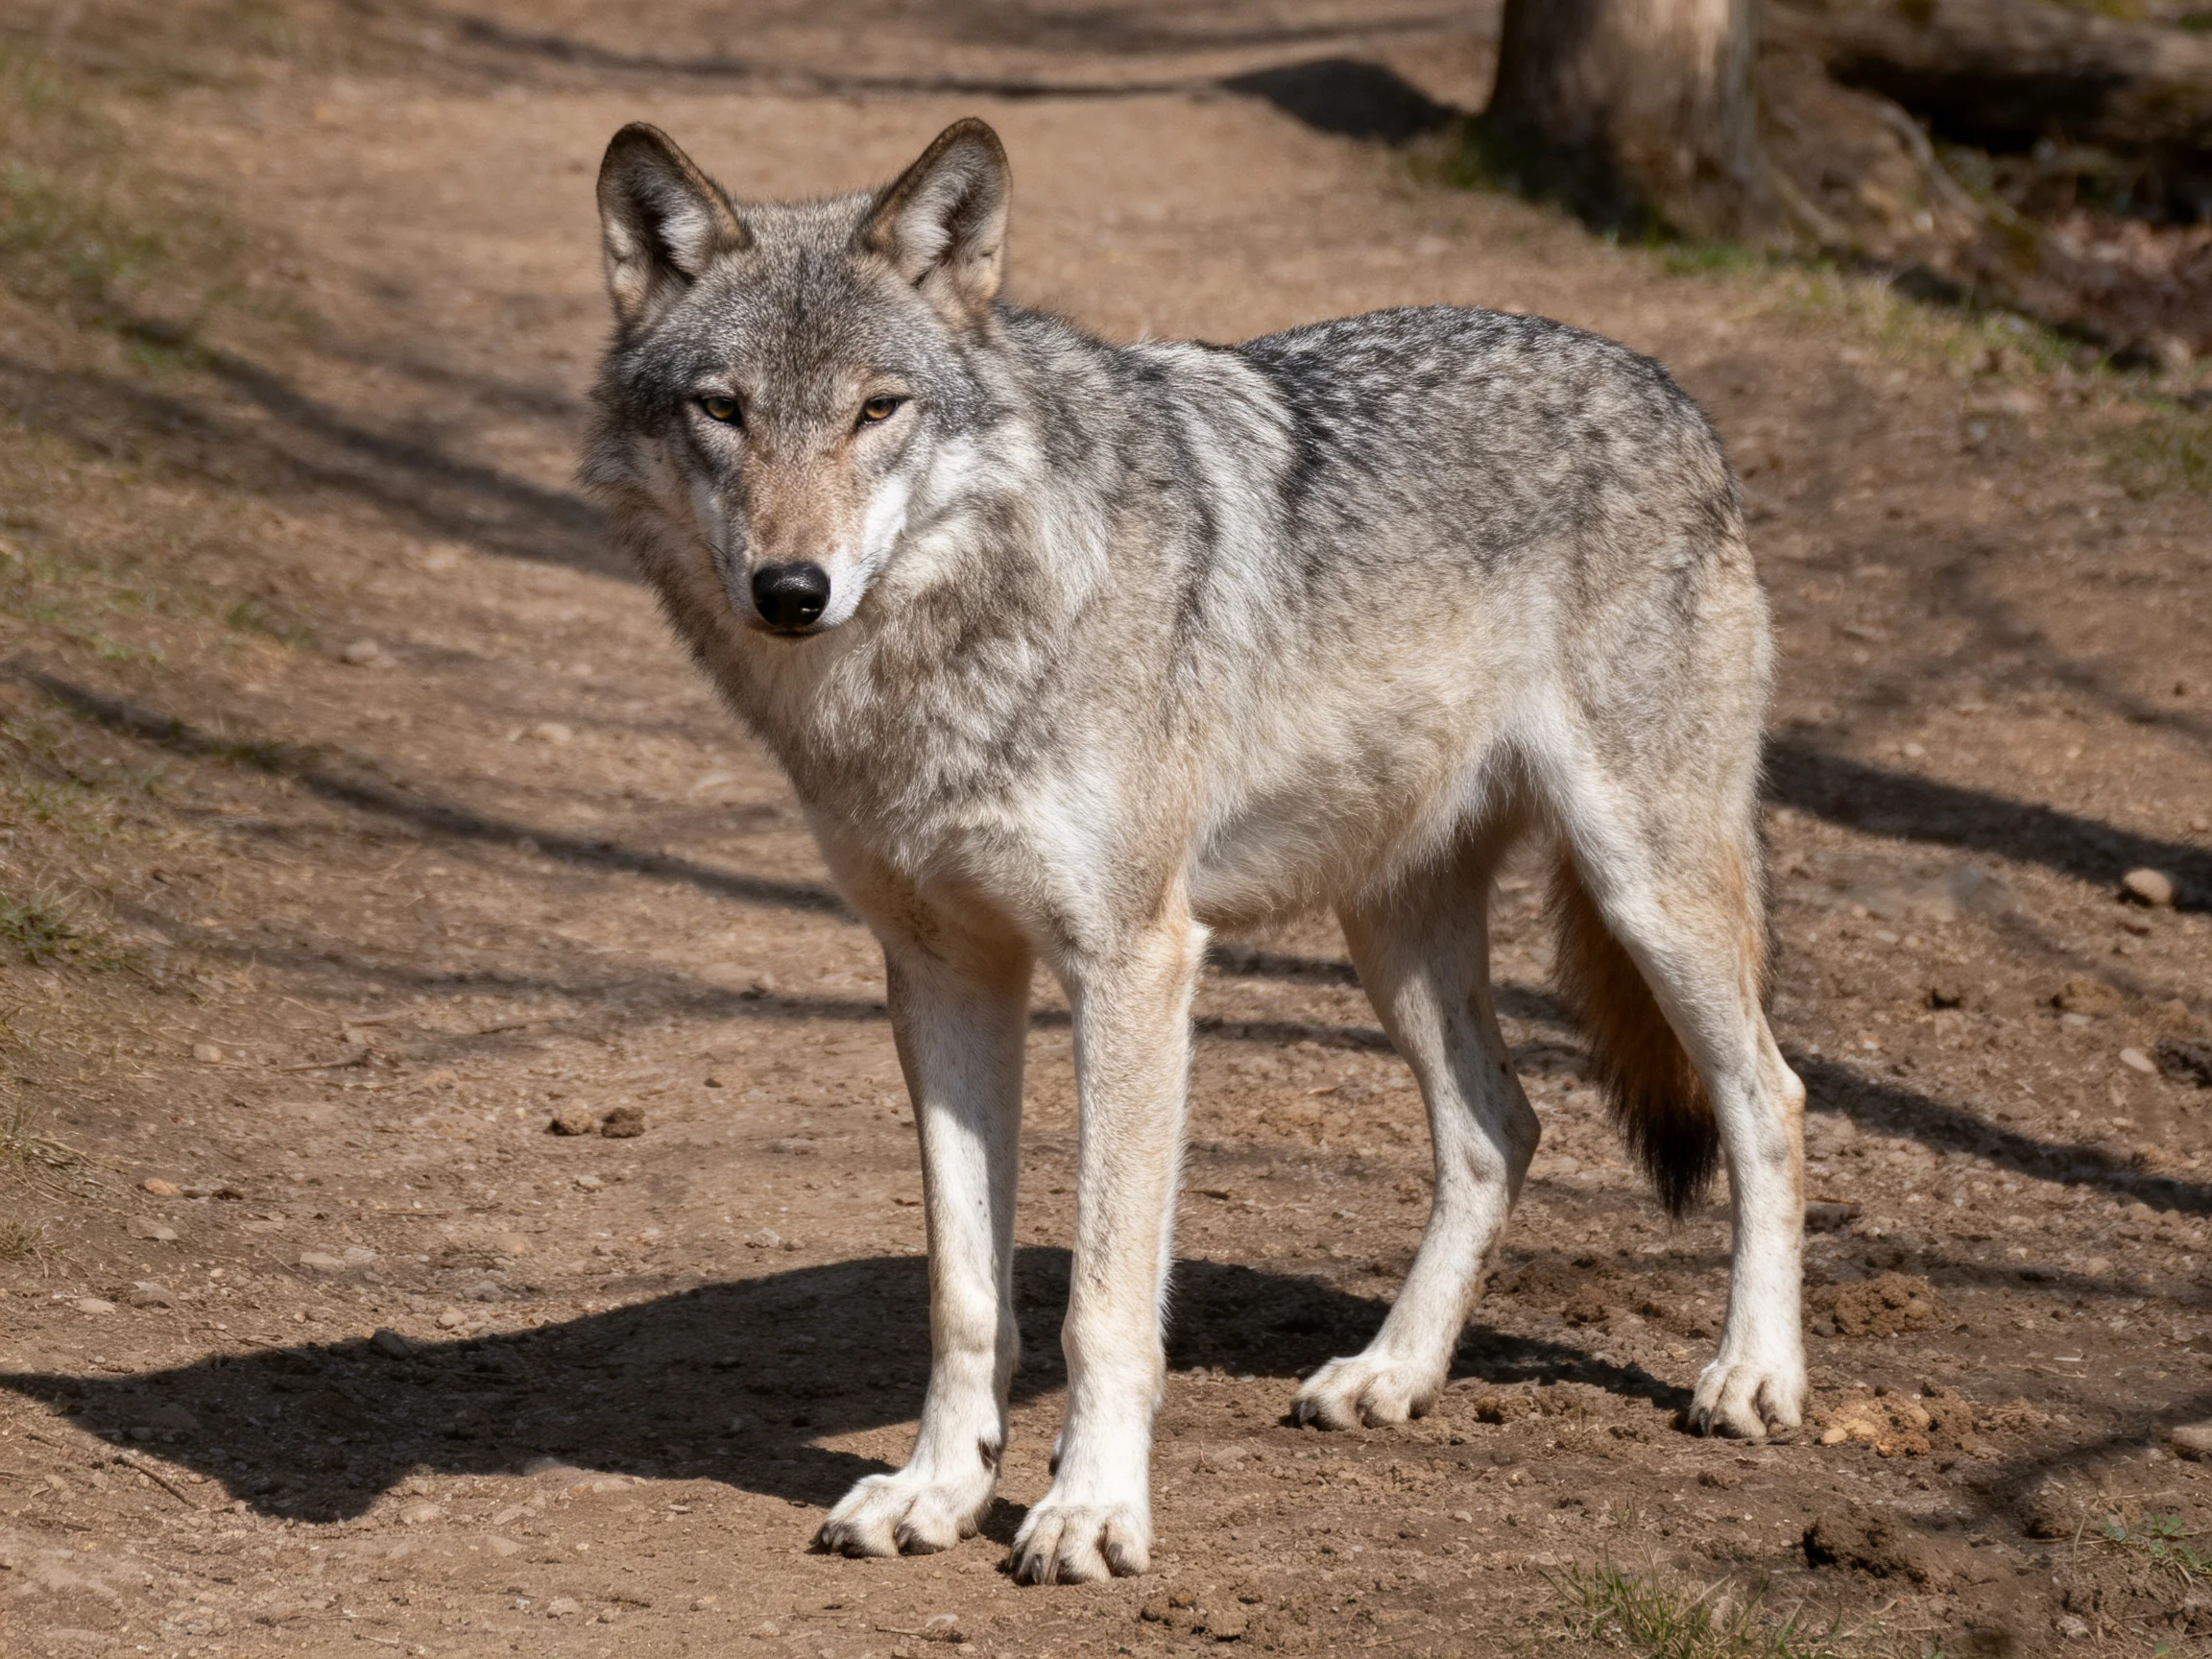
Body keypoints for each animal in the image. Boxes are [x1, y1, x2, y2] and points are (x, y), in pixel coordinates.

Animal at [584, 117, 1807, 1585]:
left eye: (878, 409)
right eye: (723, 410)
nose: (791, 589)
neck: (933, 674)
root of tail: (1669, 391)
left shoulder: (1137, 962)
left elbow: (1104, 1298)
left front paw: (1089, 1511)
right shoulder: (944, 973)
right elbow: (965, 1295)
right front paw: (939, 1490)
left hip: (1647, 890)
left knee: (1771, 1098)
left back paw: (1754, 1377)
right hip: (1392, 935)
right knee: (1500, 1129)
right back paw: (1394, 1374)